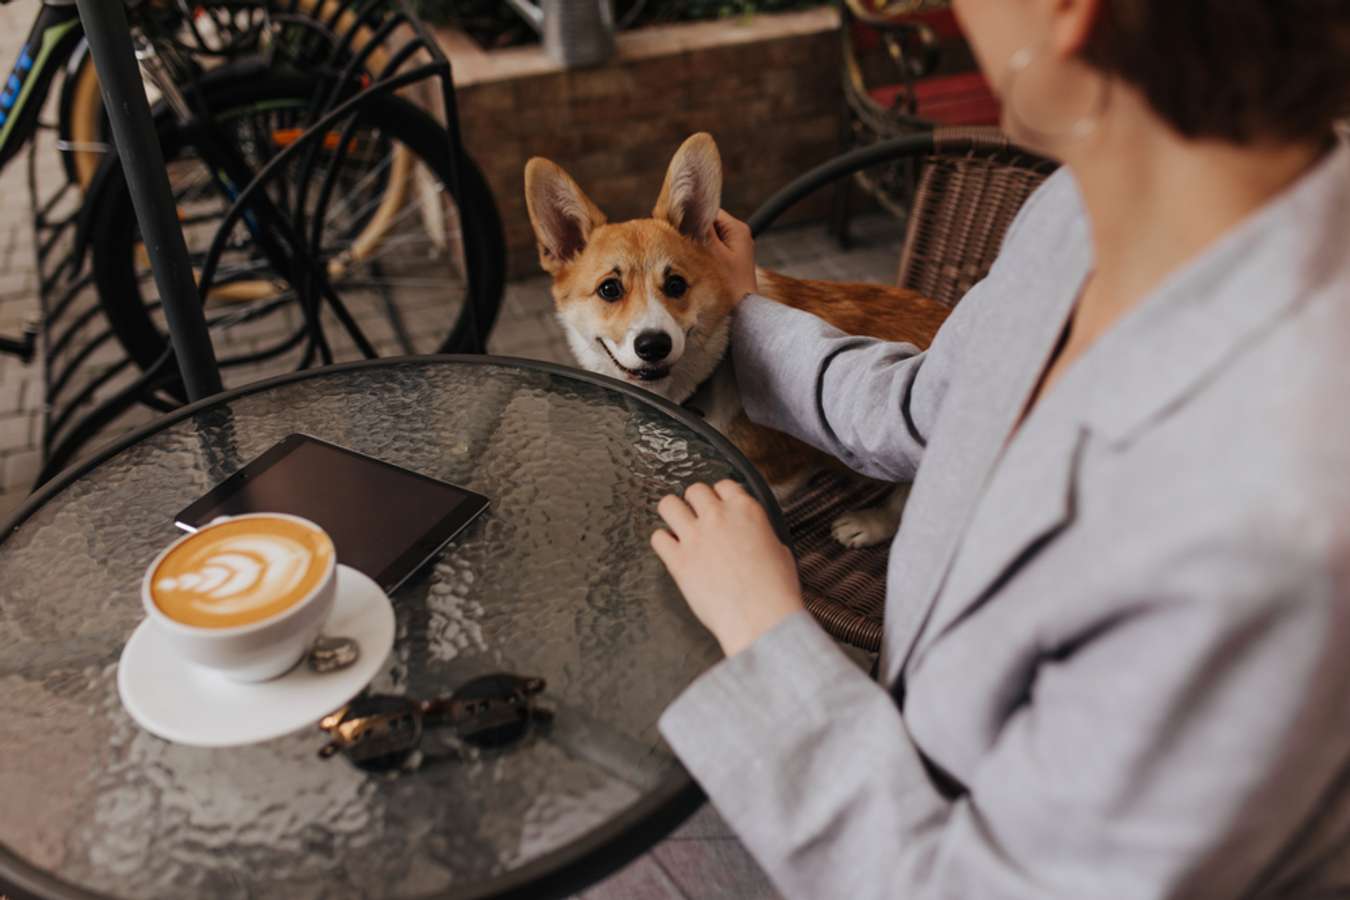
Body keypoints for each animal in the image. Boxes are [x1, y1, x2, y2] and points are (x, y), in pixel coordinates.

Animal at [523, 133, 950, 550]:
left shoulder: (779, 474)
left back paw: (867, 523)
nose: (654, 345)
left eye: (675, 284)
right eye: (609, 289)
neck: (697, 386)